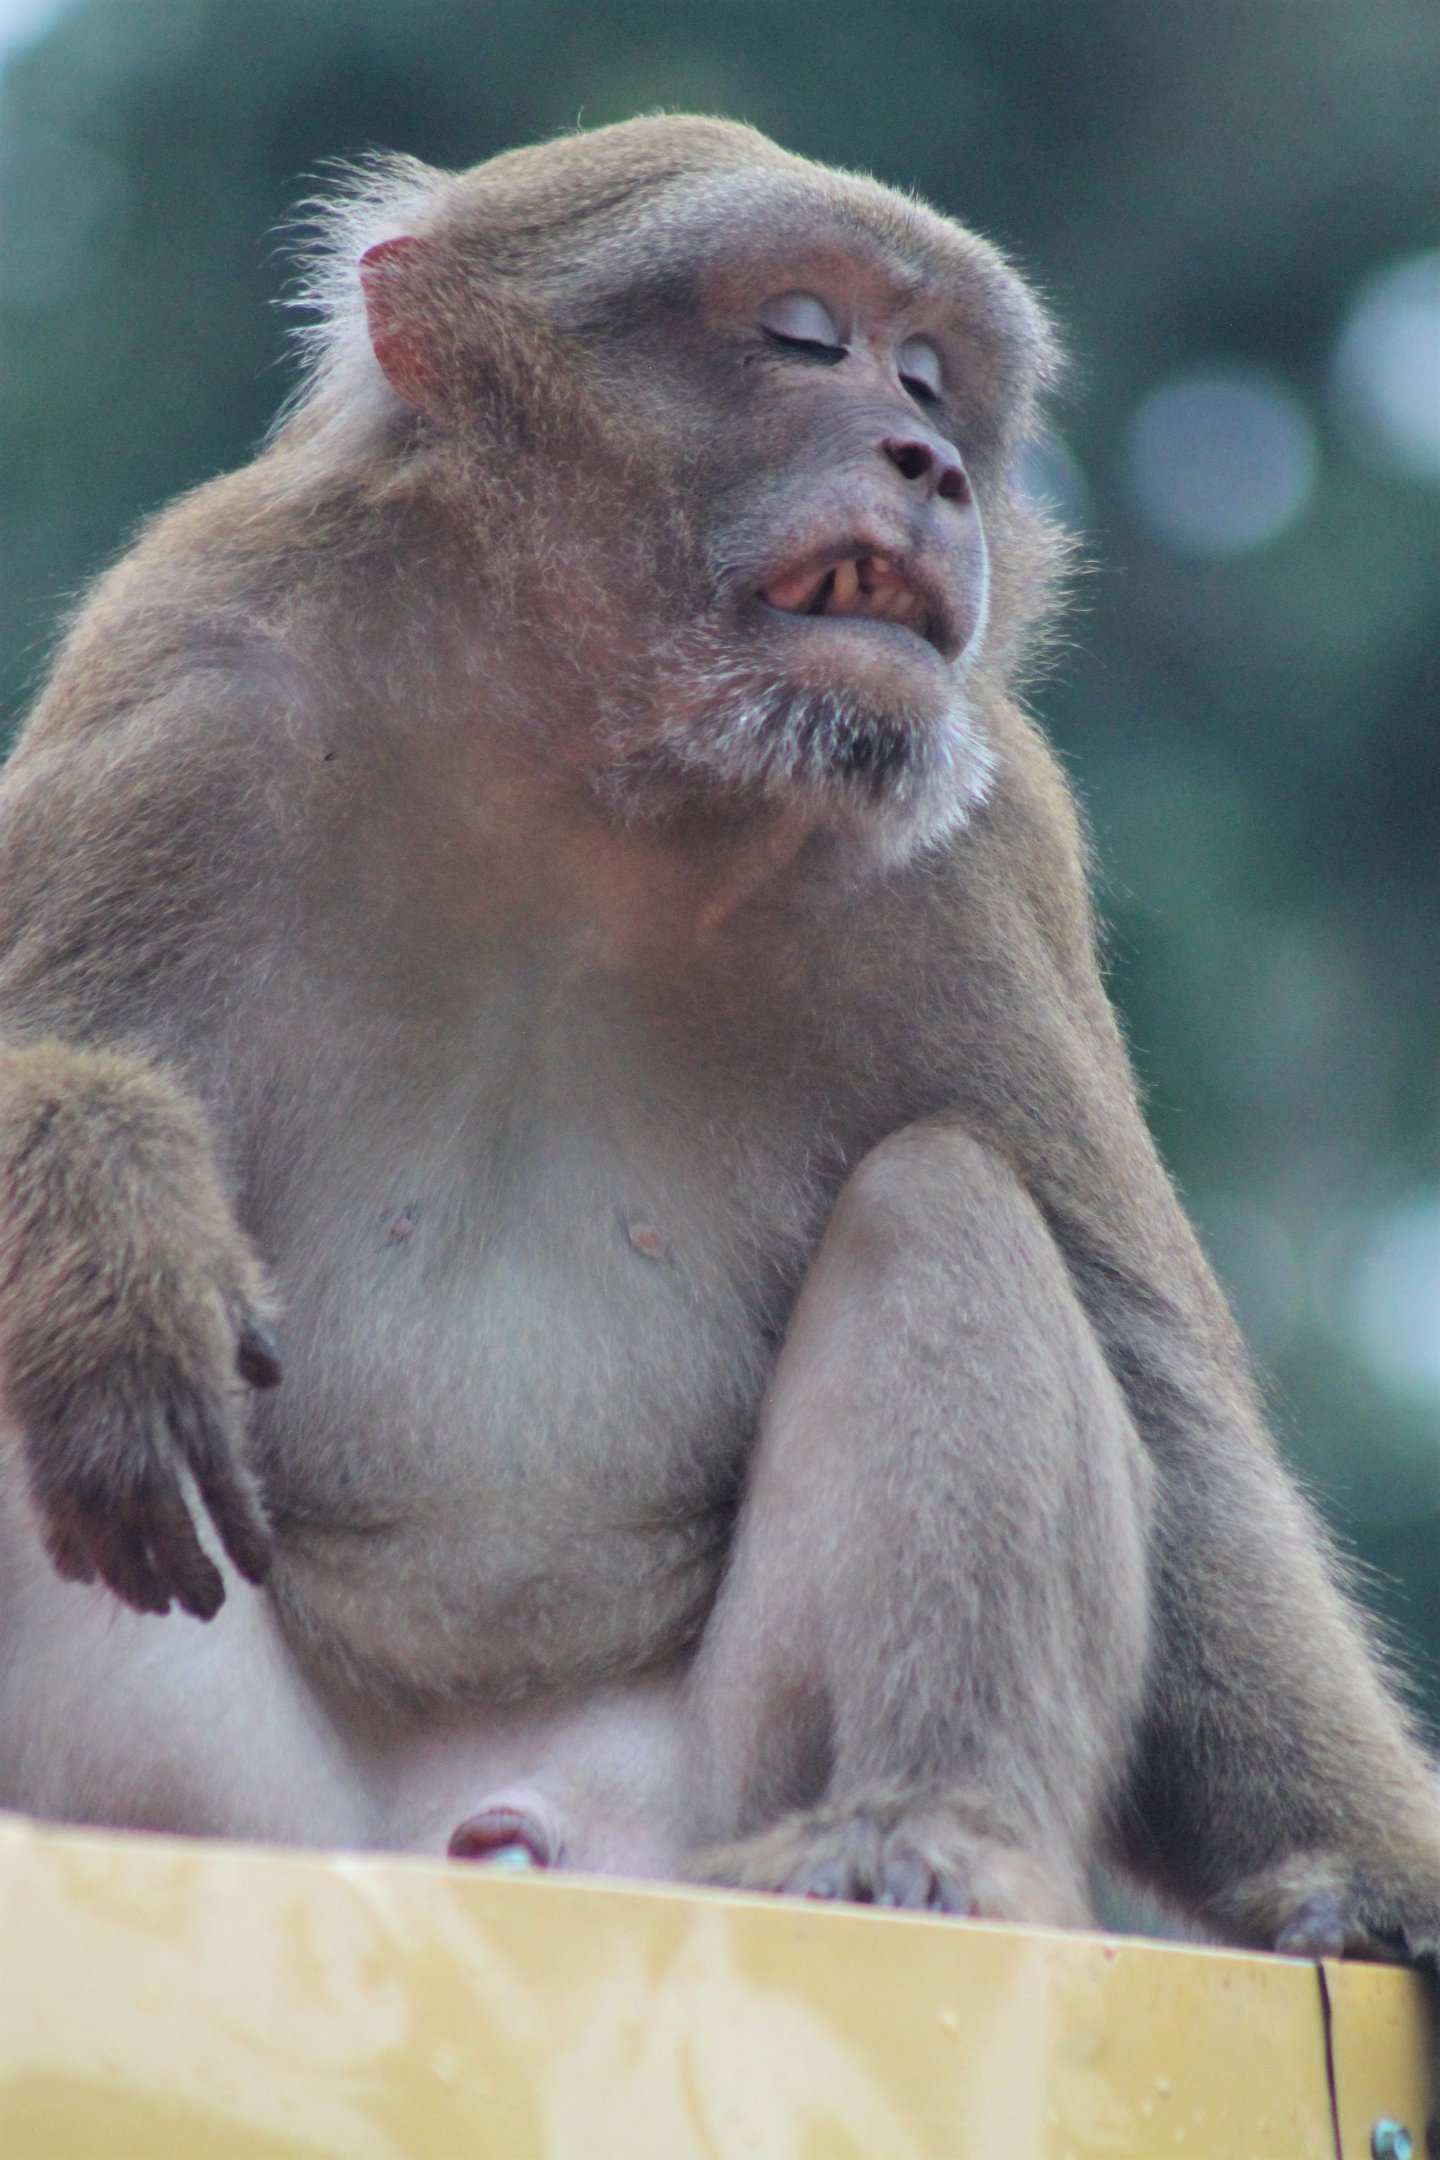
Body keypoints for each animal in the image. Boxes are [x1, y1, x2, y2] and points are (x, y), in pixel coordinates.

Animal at [0, 113, 1438, 1959]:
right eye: (803, 336)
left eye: (930, 372)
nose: (929, 461)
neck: (590, 772)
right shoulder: (192, 684)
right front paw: (113, 1238)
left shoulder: (980, 853)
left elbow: (1167, 1408)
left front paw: (1354, 1873)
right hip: (237, 1820)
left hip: (700, 1798)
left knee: (944, 1203)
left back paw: (921, 1834)